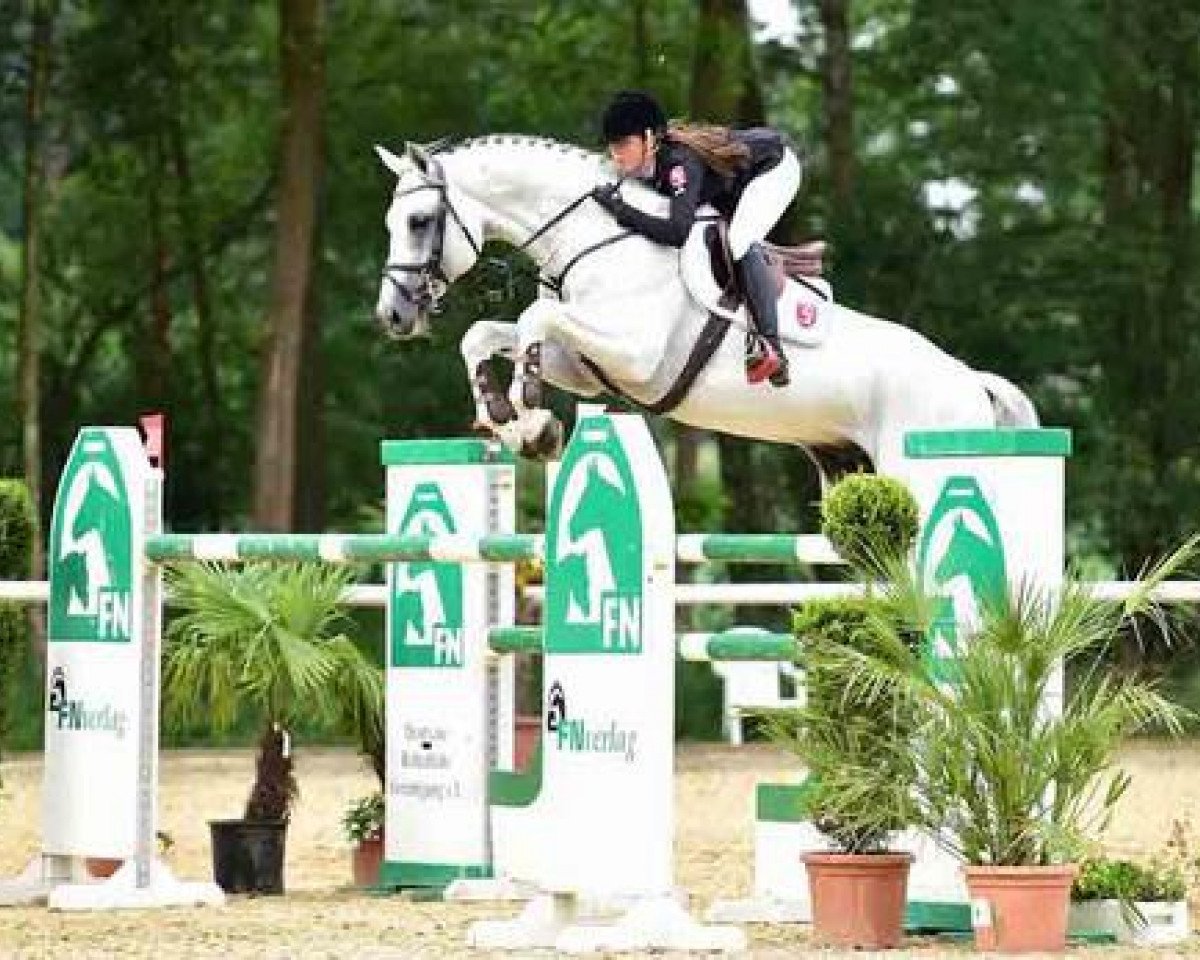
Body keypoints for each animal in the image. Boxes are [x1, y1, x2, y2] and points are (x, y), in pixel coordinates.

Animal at [372, 135, 1038, 482]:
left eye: (419, 221)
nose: (393, 316)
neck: (598, 237)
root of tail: (969, 381)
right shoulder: (582, 364)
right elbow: (484, 335)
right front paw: (506, 420)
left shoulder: (634, 356)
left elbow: (534, 322)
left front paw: (532, 420)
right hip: (852, 467)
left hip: (920, 458)